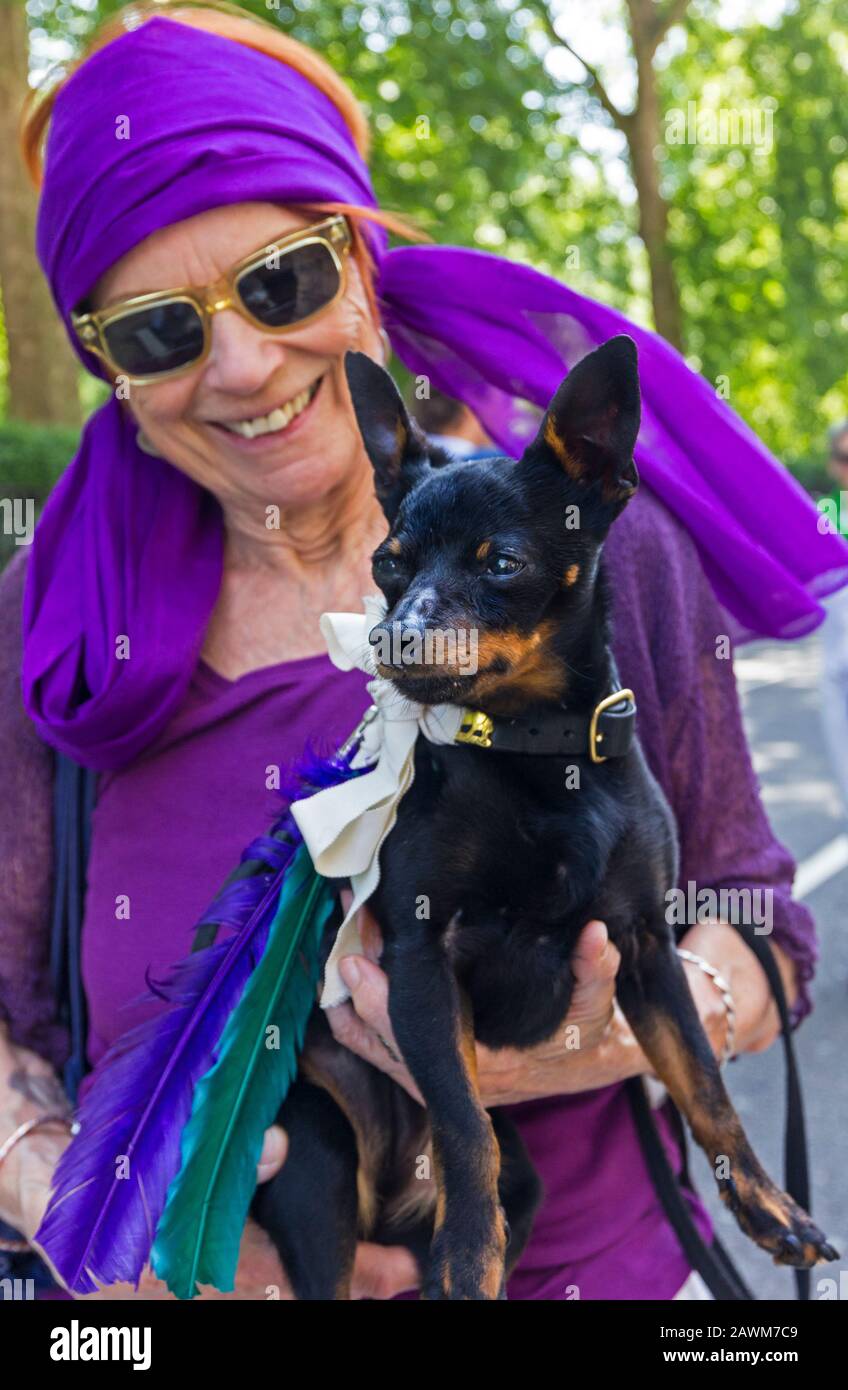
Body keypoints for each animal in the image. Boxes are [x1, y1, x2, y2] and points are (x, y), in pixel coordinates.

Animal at [250, 339, 834, 1301]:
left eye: (502, 565)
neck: (535, 751)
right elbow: (463, 1125)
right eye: (388, 565)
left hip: (524, 1184)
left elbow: (704, 1083)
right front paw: (466, 1256)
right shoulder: (422, 959)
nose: (394, 637)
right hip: (317, 1167)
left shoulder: (646, 947)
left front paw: (766, 1204)